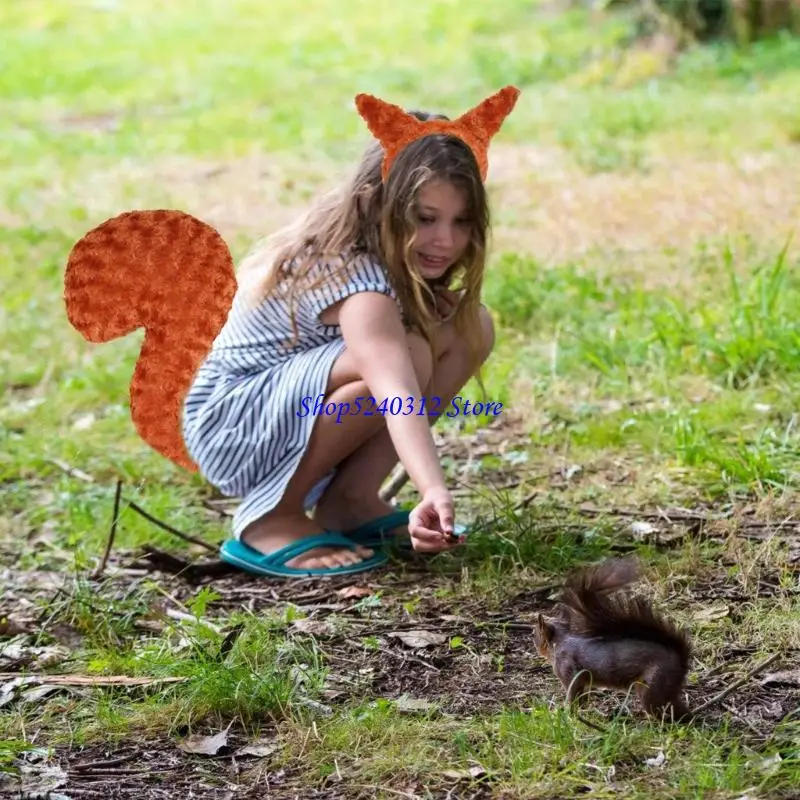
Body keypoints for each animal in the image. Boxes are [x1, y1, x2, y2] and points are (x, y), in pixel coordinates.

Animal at [533, 557, 692, 722]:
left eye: (535, 634)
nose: (534, 643)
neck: (558, 643)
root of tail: (681, 661)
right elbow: (582, 696)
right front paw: (580, 711)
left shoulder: (568, 668)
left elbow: (573, 693)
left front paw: (568, 713)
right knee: (679, 709)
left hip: (653, 684)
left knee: (662, 710)